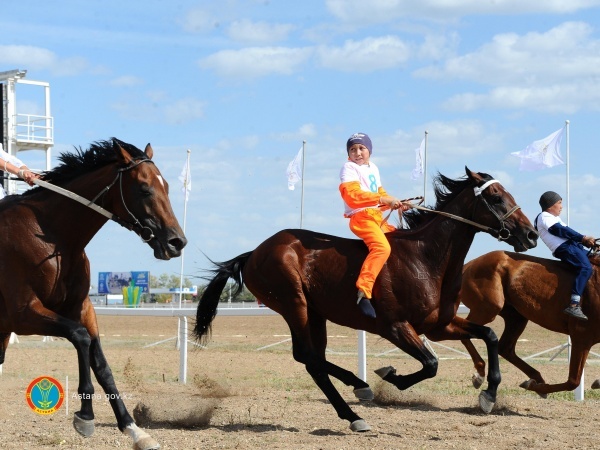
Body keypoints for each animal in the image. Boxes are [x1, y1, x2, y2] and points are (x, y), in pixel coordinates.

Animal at [0, 138, 185, 450]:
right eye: (144, 188)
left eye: (167, 186)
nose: (177, 242)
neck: (54, 236)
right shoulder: (23, 314)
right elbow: (81, 337)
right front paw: (85, 415)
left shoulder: (82, 308)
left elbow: (101, 364)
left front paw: (135, 429)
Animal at [196, 167, 540, 430]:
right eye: (496, 197)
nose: (531, 234)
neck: (425, 258)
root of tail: (254, 252)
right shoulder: (395, 326)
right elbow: (430, 364)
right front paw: (391, 376)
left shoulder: (438, 326)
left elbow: (490, 335)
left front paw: (489, 394)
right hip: (295, 304)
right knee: (309, 358)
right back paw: (355, 407)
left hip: (315, 313)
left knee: (310, 357)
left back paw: (356, 393)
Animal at [458, 250, 600, 398]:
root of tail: (468, 265)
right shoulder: (582, 336)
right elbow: (573, 381)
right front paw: (535, 387)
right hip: (488, 308)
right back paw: (480, 373)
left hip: (516, 317)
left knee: (505, 348)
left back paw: (536, 377)